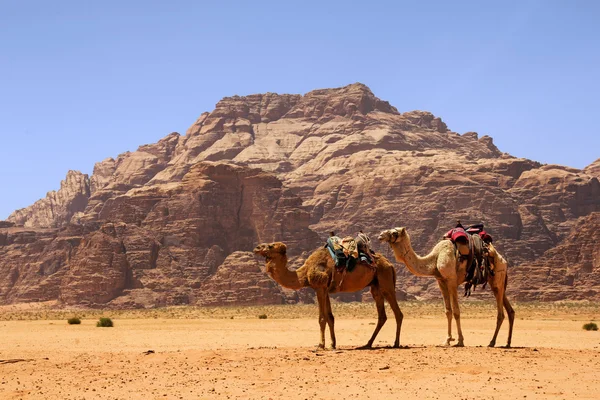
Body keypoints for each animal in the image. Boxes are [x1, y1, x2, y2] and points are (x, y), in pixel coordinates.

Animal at [253, 241, 404, 350]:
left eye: (270, 245)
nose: (256, 248)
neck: (304, 273)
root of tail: (390, 264)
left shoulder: (319, 287)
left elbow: (321, 318)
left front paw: (320, 345)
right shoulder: (325, 290)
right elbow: (330, 317)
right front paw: (332, 344)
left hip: (385, 280)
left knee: (398, 313)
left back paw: (396, 343)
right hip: (375, 286)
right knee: (382, 316)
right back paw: (367, 344)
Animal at [378, 228, 512, 346]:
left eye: (394, 233)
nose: (380, 236)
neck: (435, 259)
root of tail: (503, 260)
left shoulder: (451, 280)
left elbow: (456, 311)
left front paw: (460, 340)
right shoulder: (441, 281)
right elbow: (448, 311)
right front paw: (447, 340)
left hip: (498, 278)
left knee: (500, 313)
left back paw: (492, 342)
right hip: (496, 282)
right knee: (510, 310)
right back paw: (507, 343)